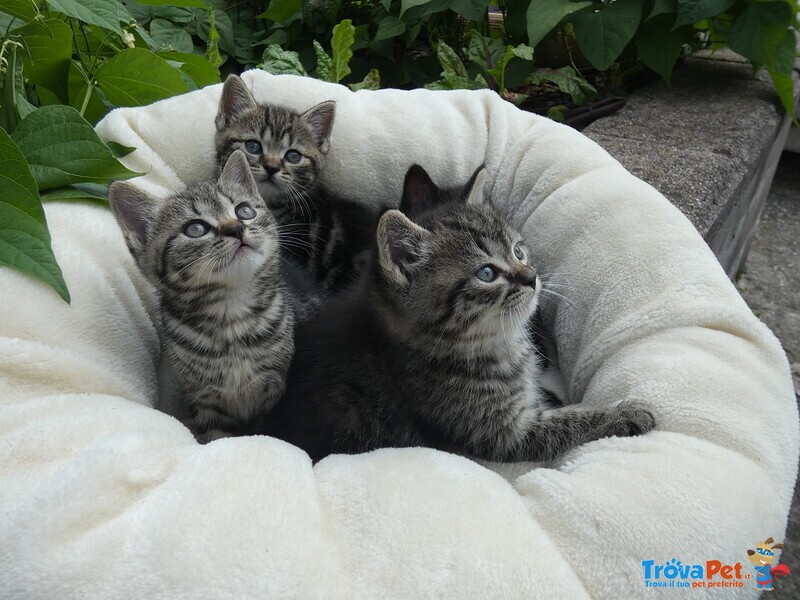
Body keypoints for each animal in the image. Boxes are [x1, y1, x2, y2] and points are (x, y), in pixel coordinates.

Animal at [107, 150, 294, 440]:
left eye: (245, 211)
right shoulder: (206, 402)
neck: (232, 314)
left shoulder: (276, 387)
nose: (237, 228)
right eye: (195, 229)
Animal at [262, 166, 656, 462]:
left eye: (518, 251)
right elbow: (567, 425)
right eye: (487, 273)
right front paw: (625, 413)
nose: (532, 277)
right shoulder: (498, 432)